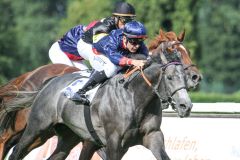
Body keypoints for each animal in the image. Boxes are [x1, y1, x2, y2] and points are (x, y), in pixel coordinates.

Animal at [0, 29, 202, 159]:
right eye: (169, 77)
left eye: (187, 52)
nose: (186, 105)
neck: (136, 98)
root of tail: (47, 81)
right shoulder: (112, 143)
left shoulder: (152, 136)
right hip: (35, 128)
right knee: (13, 148)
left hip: (65, 135)